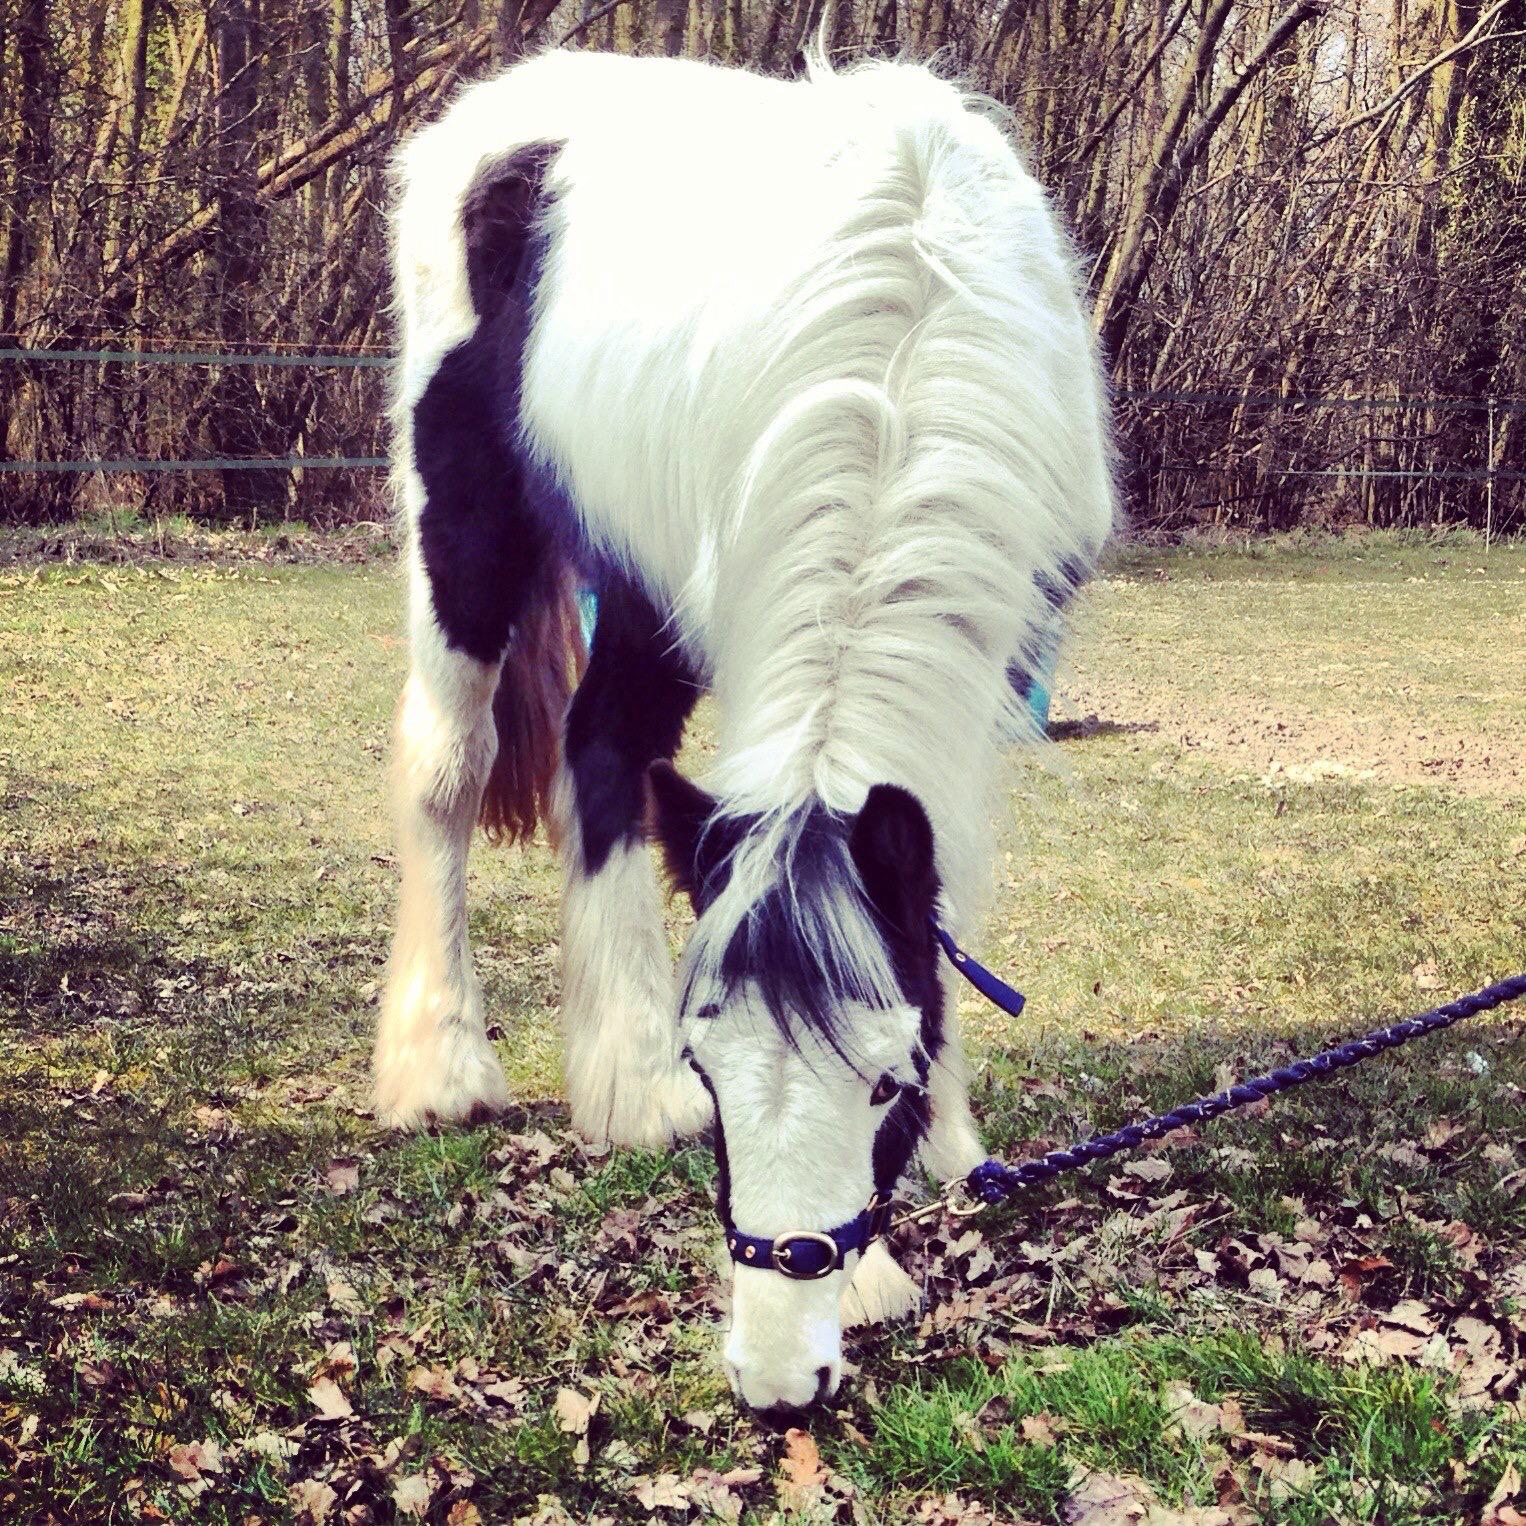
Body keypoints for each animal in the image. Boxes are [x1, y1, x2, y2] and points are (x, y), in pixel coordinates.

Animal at [374, 46, 1114, 1416]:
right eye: (720, 1072)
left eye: (884, 1079)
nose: (778, 1367)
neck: (905, 355)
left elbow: (936, 894)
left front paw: (947, 1139)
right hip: (467, 524)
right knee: (447, 773)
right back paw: (440, 1068)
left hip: (638, 582)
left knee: (600, 758)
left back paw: (620, 1085)